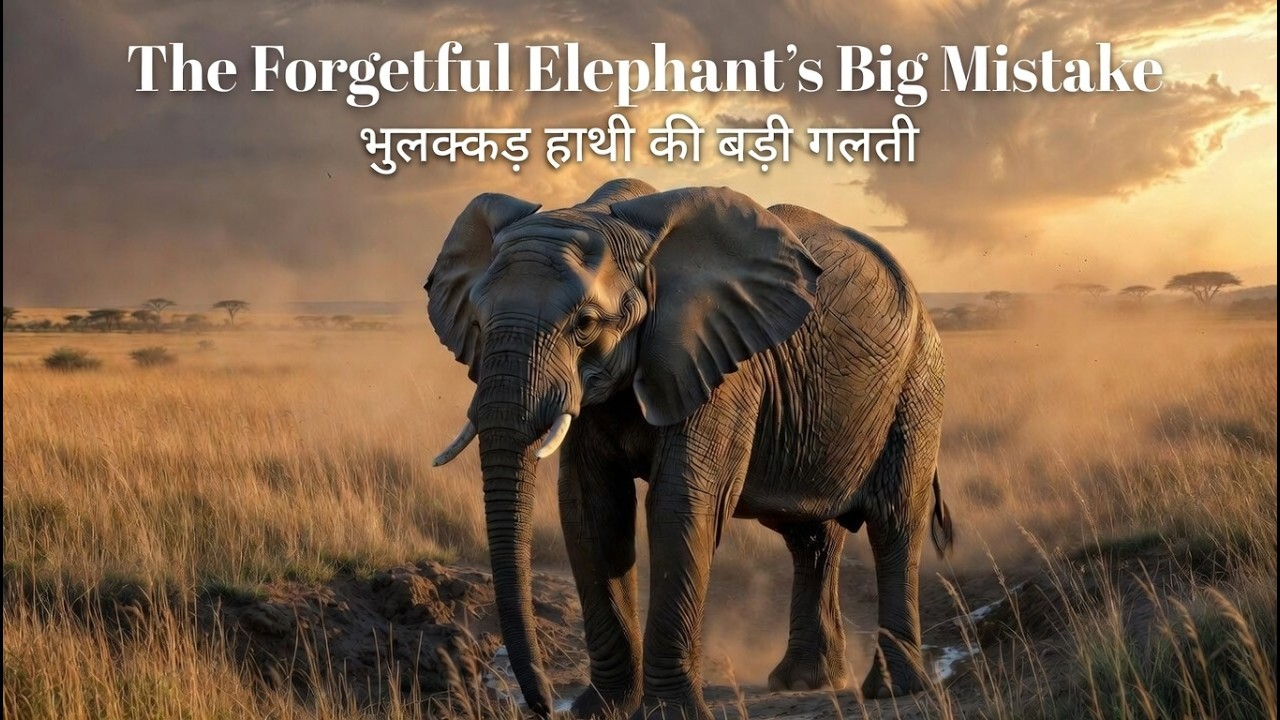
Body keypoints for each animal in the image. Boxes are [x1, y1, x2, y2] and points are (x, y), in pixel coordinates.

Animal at [424, 178, 954, 720]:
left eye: (585, 324)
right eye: (478, 321)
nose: (545, 706)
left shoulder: (724, 366)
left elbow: (680, 503)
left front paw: (667, 712)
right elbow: (592, 509)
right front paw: (600, 709)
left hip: (918, 384)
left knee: (894, 522)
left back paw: (893, 690)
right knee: (810, 537)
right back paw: (803, 682)